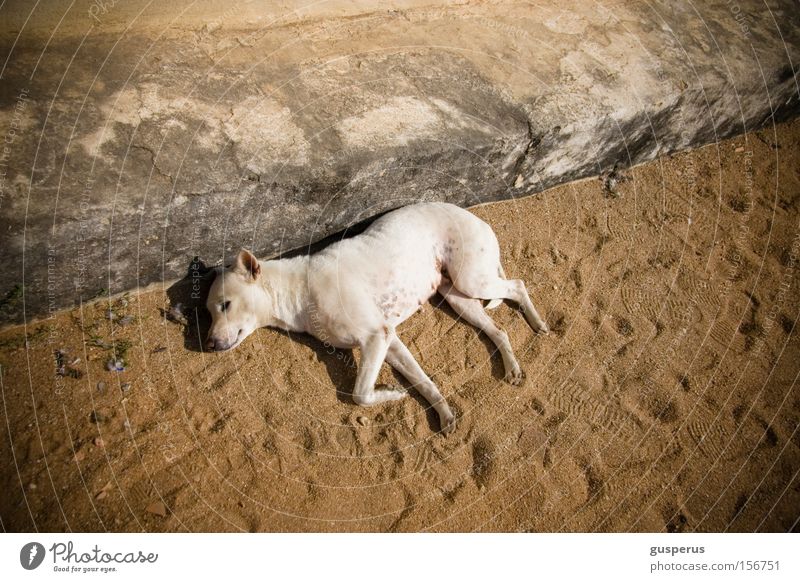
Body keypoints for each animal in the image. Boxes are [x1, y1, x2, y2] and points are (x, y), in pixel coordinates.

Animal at [203, 203, 548, 436]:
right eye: (208, 311)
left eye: (225, 305)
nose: (208, 344)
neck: (297, 290)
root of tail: (478, 218)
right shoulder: (389, 341)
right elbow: (423, 381)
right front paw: (444, 413)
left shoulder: (375, 337)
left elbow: (360, 394)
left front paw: (393, 393)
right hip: (458, 296)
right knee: (499, 331)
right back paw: (513, 368)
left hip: (473, 280)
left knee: (518, 285)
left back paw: (539, 323)